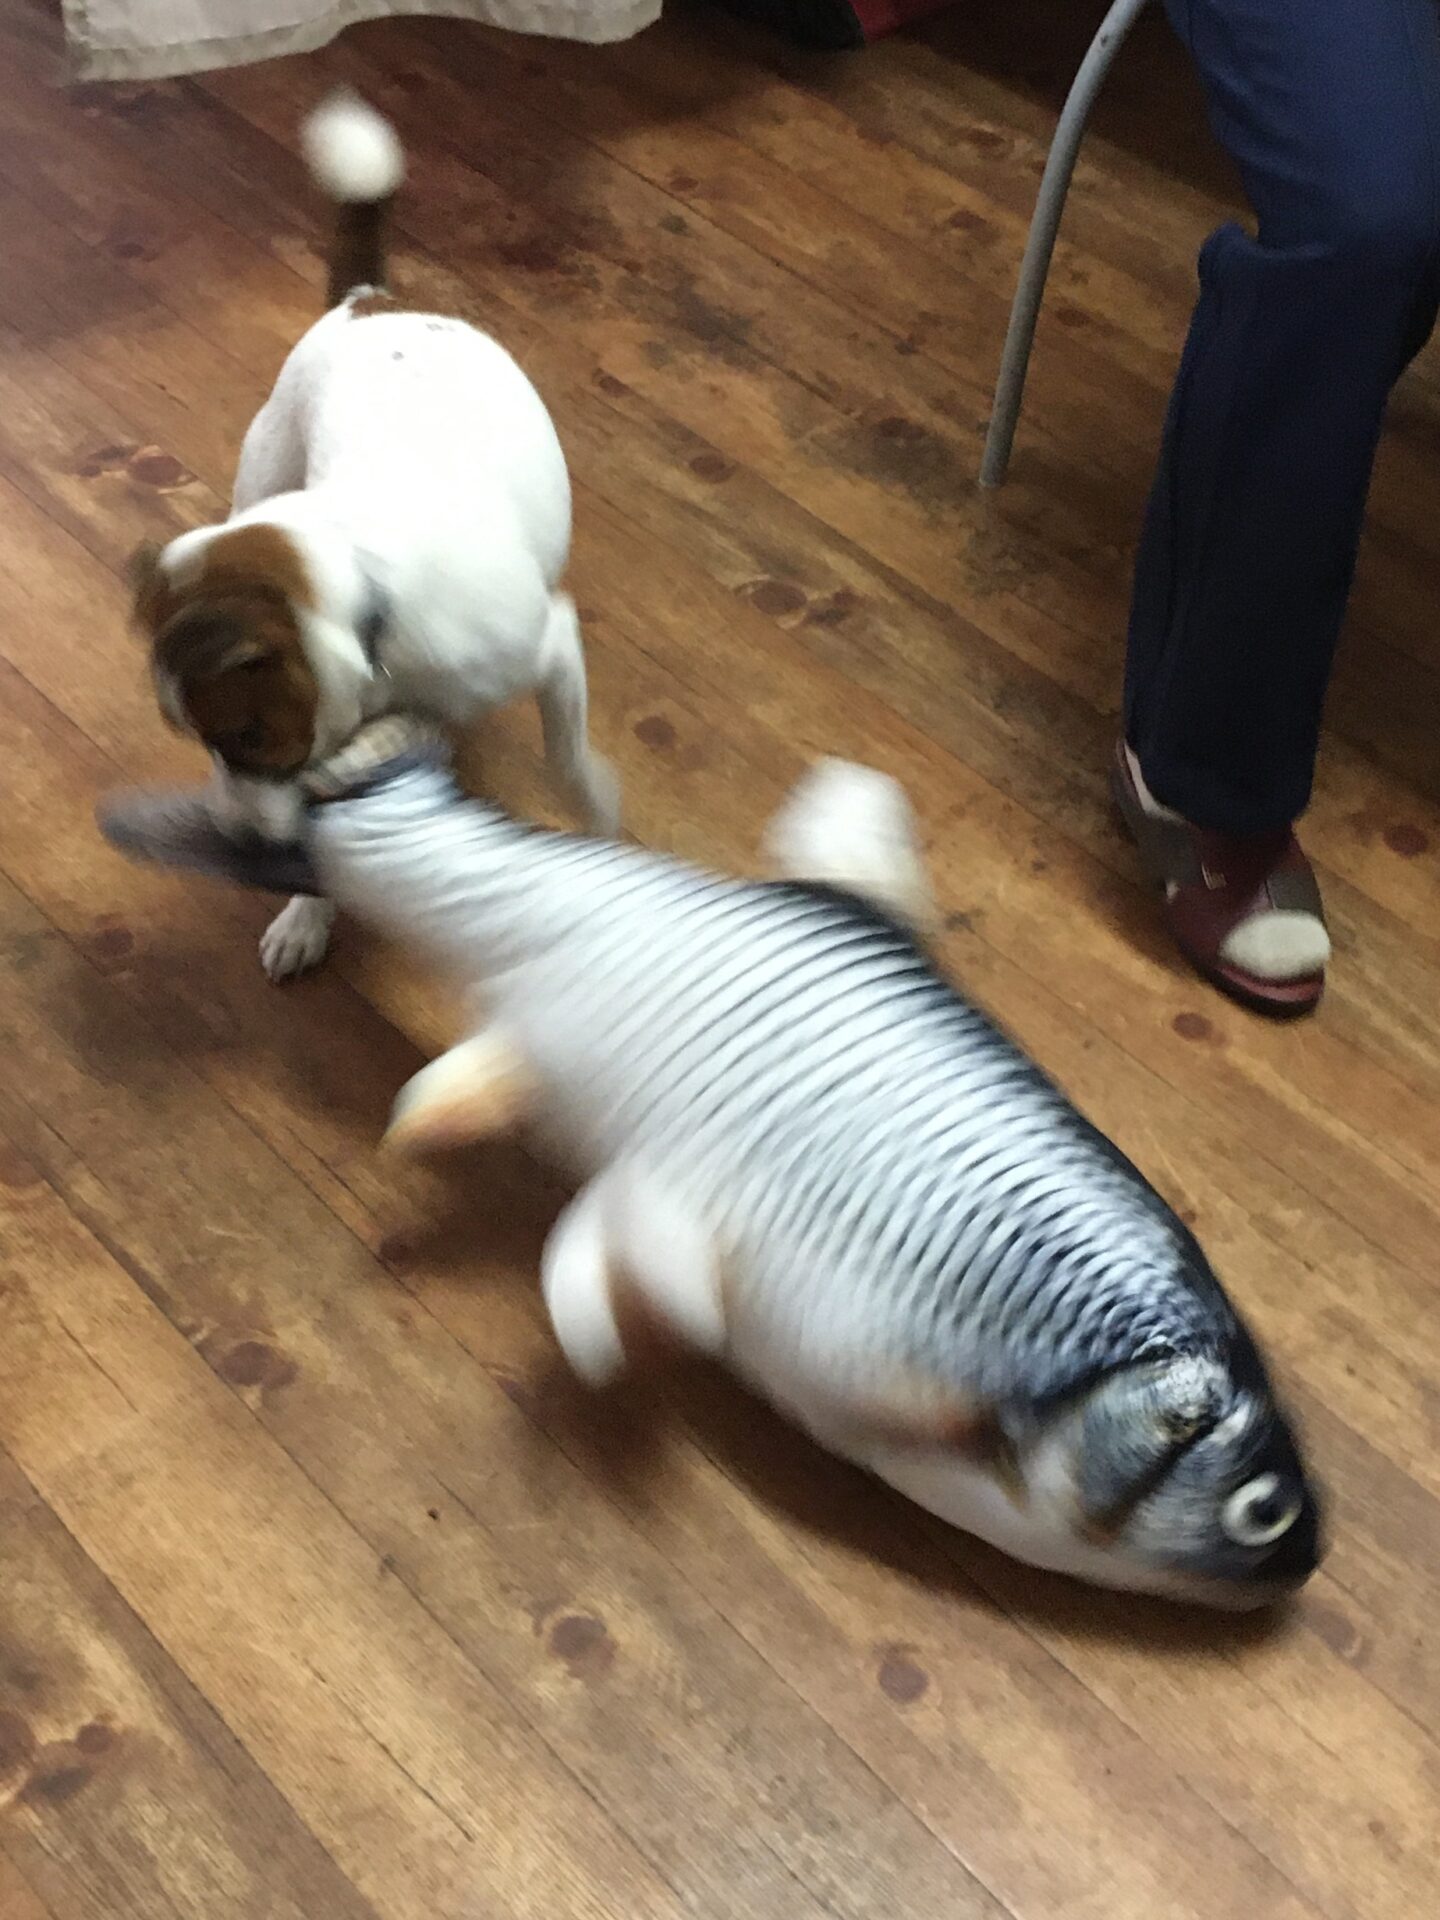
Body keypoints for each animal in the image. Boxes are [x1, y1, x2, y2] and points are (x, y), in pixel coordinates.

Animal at [130, 93, 618, 980]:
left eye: (244, 734)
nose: (237, 842)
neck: (372, 608)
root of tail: (368, 300)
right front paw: (305, 917)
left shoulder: (552, 645)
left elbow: (567, 760)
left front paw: (597, 810)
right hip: (266, 467)